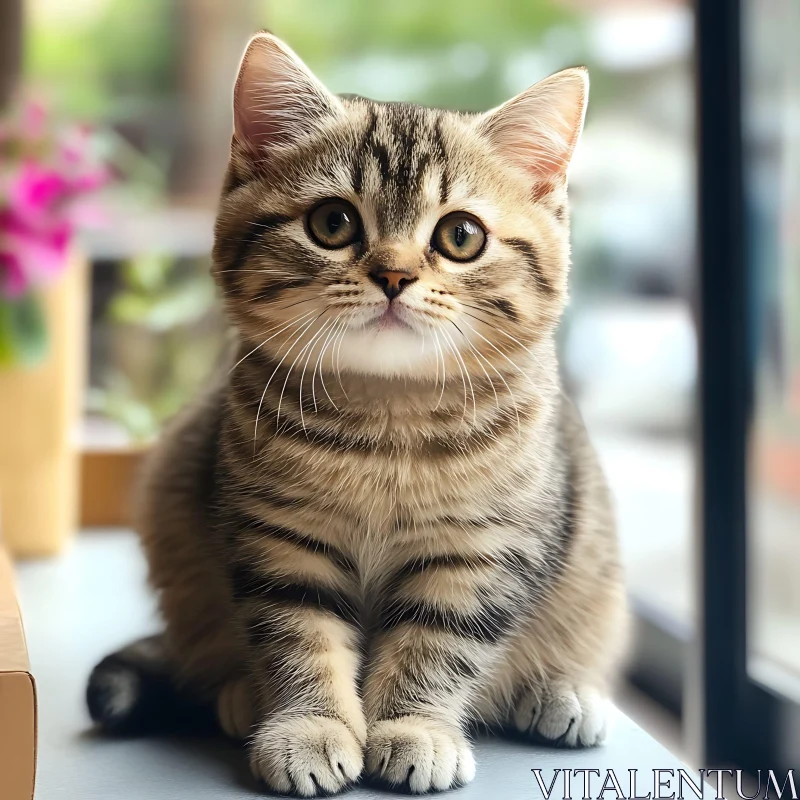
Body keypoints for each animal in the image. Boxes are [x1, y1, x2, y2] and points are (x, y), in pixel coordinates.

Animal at [86, 32, 624, 792]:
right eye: (333, 223)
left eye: (461, 236)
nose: (394, 274)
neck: (387, 418)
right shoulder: (281, 538)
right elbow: (298, 636)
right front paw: (309, 726)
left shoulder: (481, 550)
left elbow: (439, 643)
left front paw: (413, 727)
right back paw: (240, 693)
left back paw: (563, 691)